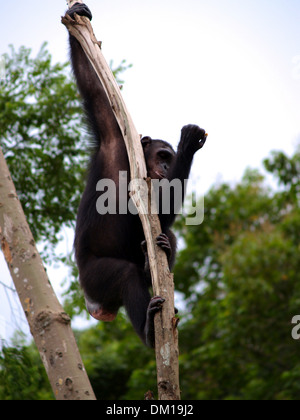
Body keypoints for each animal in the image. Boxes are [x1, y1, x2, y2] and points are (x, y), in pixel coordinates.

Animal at [65, 3, 206, 348]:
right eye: (163, 156)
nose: (167, 167)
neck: (133, 164)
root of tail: (95, 306)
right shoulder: (112, 137)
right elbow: (95, 91)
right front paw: (77, 20)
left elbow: (160, 217)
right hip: (94, 278)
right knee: (125, 276)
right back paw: (150, 332)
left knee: (166, 238)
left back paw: (154, 257)